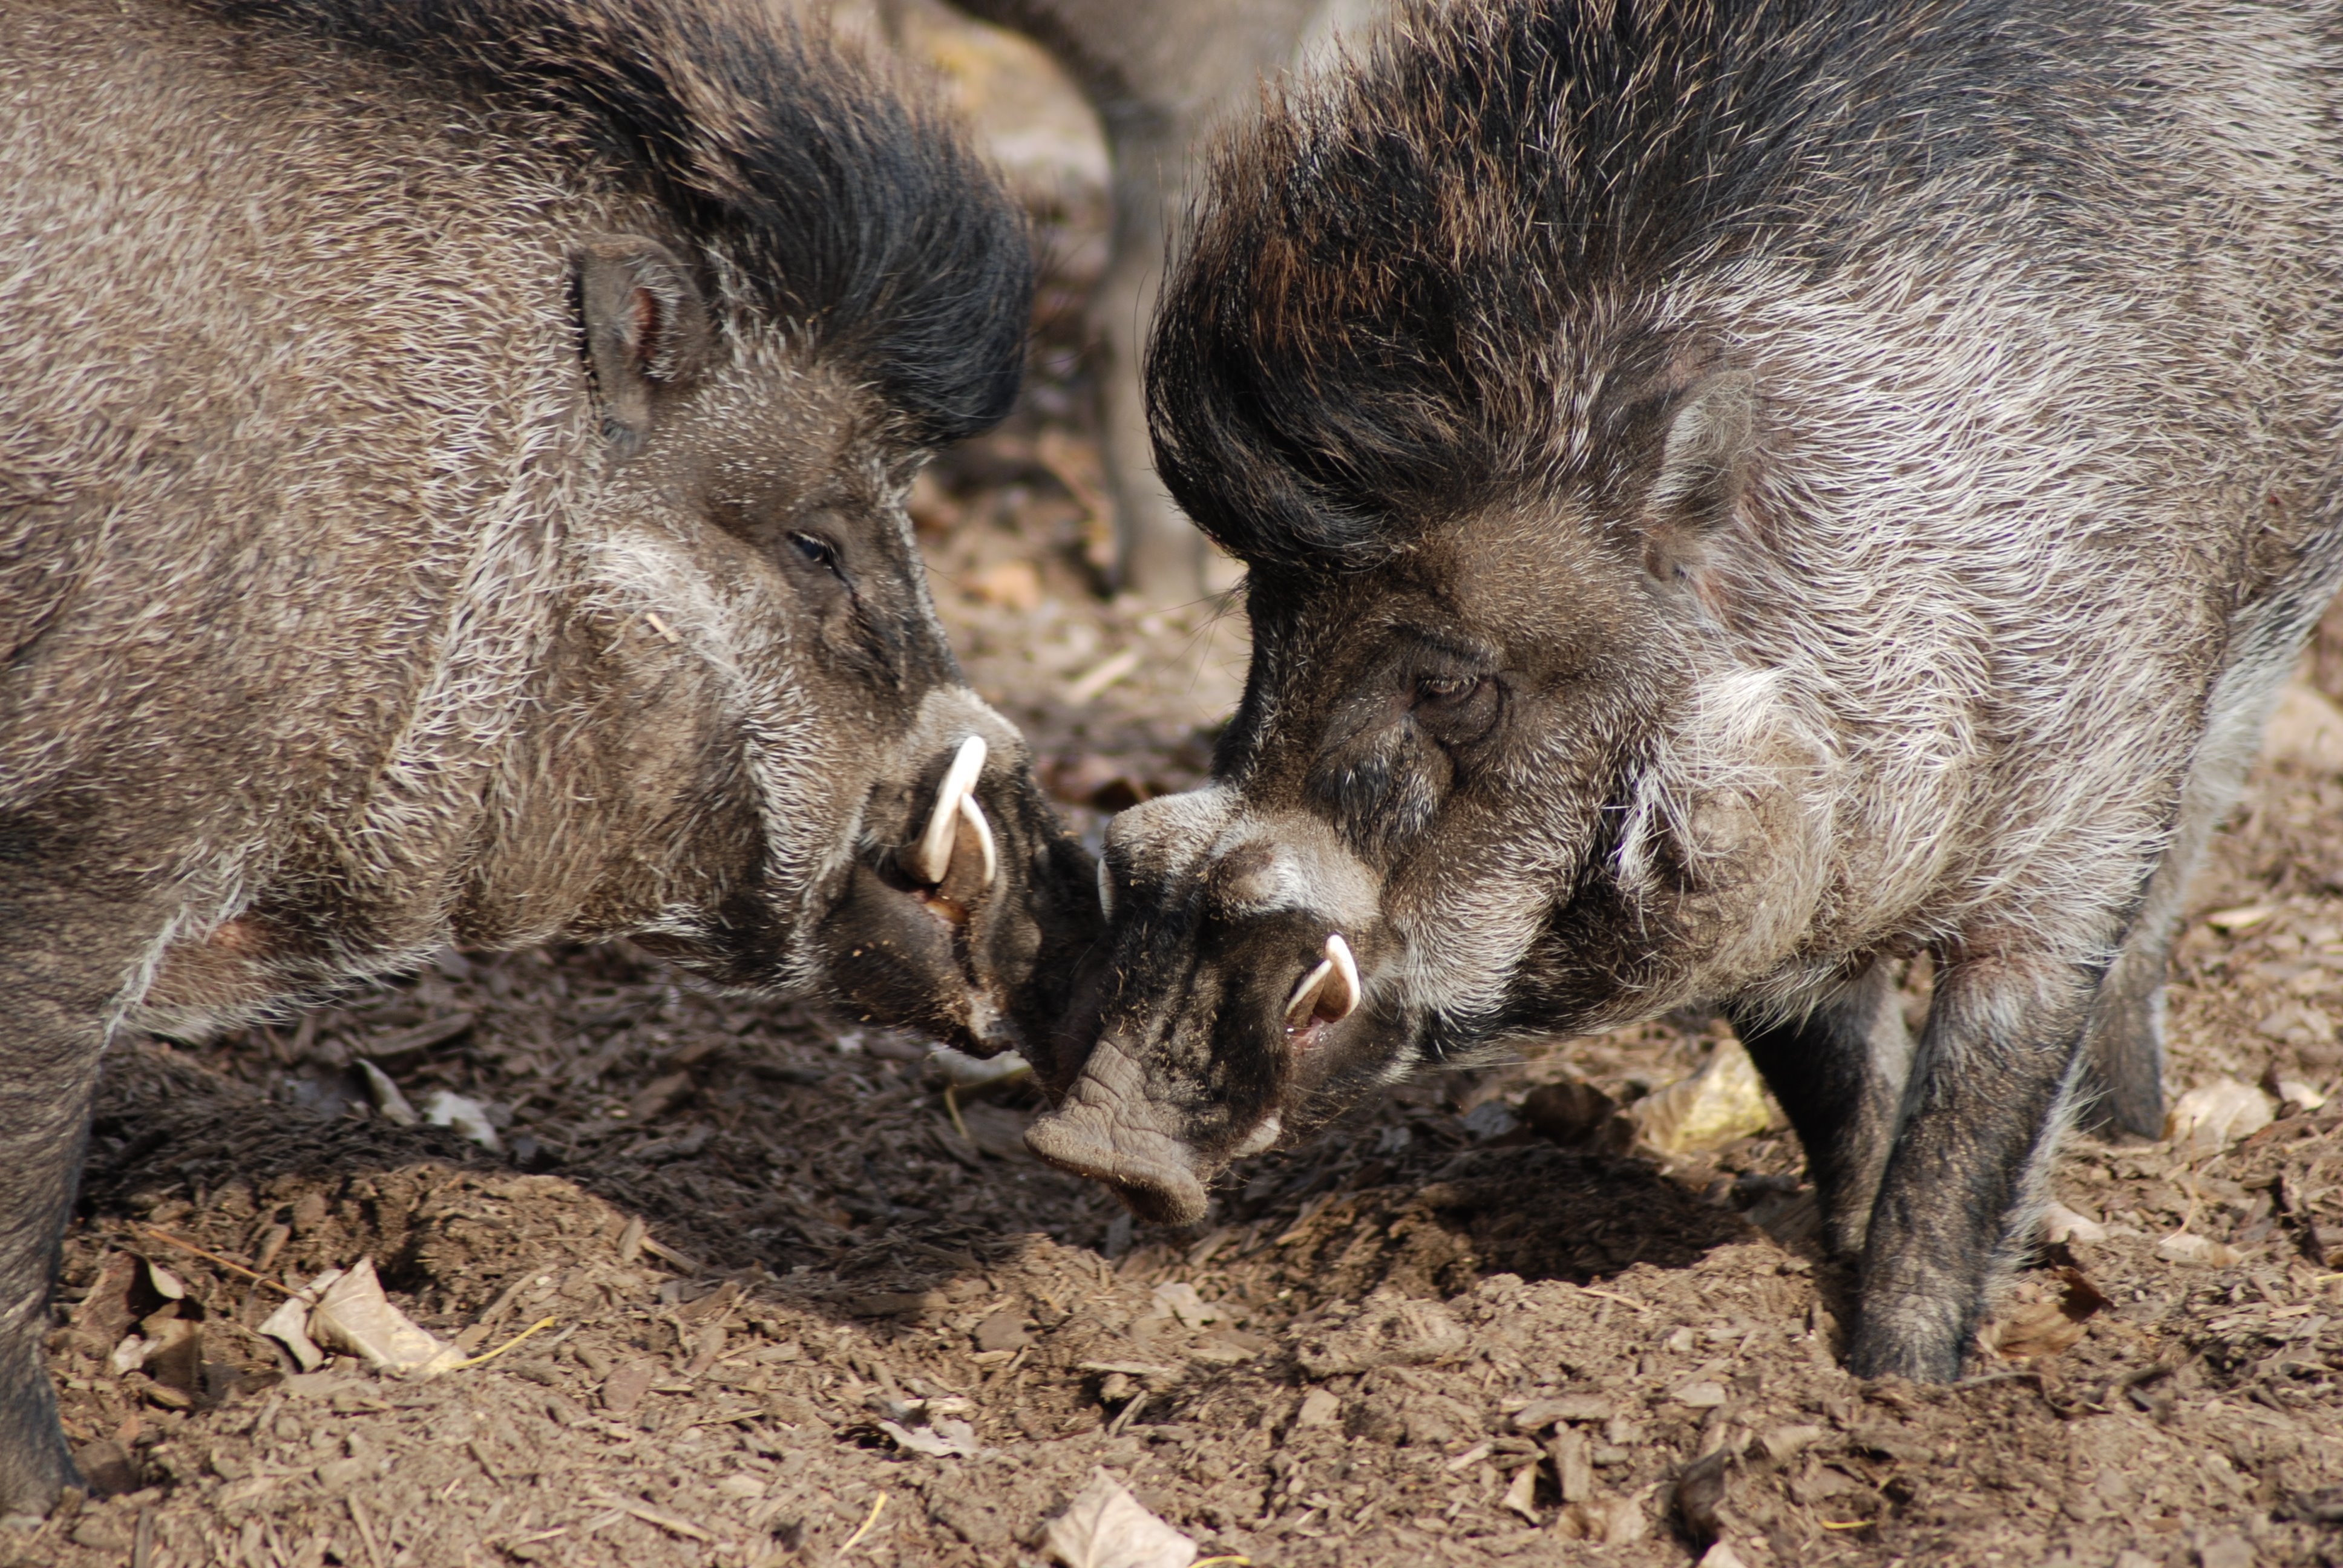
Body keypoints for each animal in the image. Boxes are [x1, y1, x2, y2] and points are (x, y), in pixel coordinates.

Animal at [1021, 0, 2343, 1378]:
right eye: (1261, 627)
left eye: (1446, 680)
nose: (1093, 1144)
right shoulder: (1769, 920)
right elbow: (1838, 1094)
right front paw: (1833, 1279)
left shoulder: (2075, 835)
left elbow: (1962, 1144)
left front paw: (1900, 1381)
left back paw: (2129, 1135)